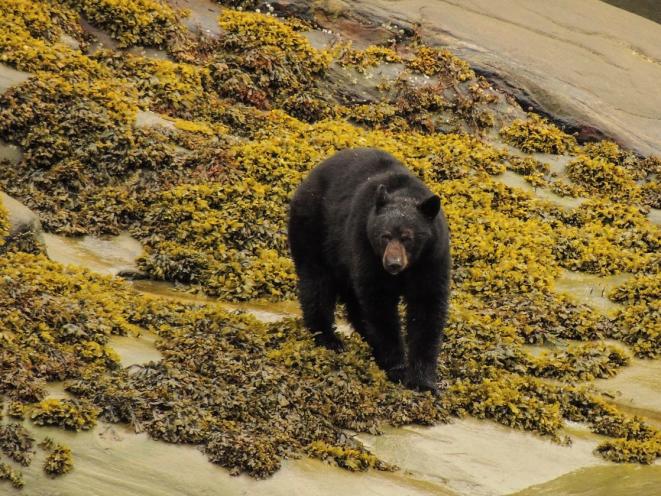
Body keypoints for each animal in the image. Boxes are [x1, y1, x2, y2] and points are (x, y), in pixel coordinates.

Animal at [288, 147, 451, 393]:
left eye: (407, 237)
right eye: (385, 236)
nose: (393, 263)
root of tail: (309, 178)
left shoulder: (432, 258)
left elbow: (427, 307)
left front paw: (424, 381)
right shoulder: (365, 244)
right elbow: (379, 302)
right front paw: (398, 368)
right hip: (314, 227)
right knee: (317, 282)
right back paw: (328, 338)